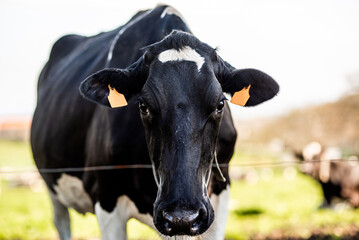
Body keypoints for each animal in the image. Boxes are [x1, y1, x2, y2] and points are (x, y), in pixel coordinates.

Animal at [31, 4, 280, 240]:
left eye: (220, 104)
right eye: (143, 106)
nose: (182, 216)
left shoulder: (221, 191)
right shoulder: (106, 195)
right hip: (51, 186)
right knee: (62, 222)